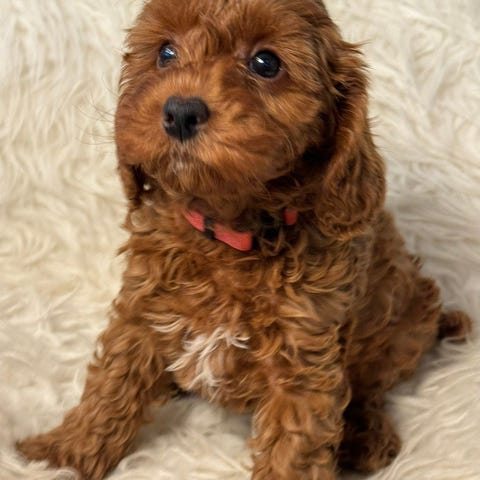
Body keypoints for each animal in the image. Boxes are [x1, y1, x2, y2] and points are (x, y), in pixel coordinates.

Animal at [17, 0, 472, 479]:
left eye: (265, 63)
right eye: (165, 53)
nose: (180, 111)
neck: (229, 233)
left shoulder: (303, 364)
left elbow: (294, 450)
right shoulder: (143, 309)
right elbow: (112, 384)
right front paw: (59, 456)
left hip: (403, 324)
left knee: (370, 385)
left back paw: (365, 436)